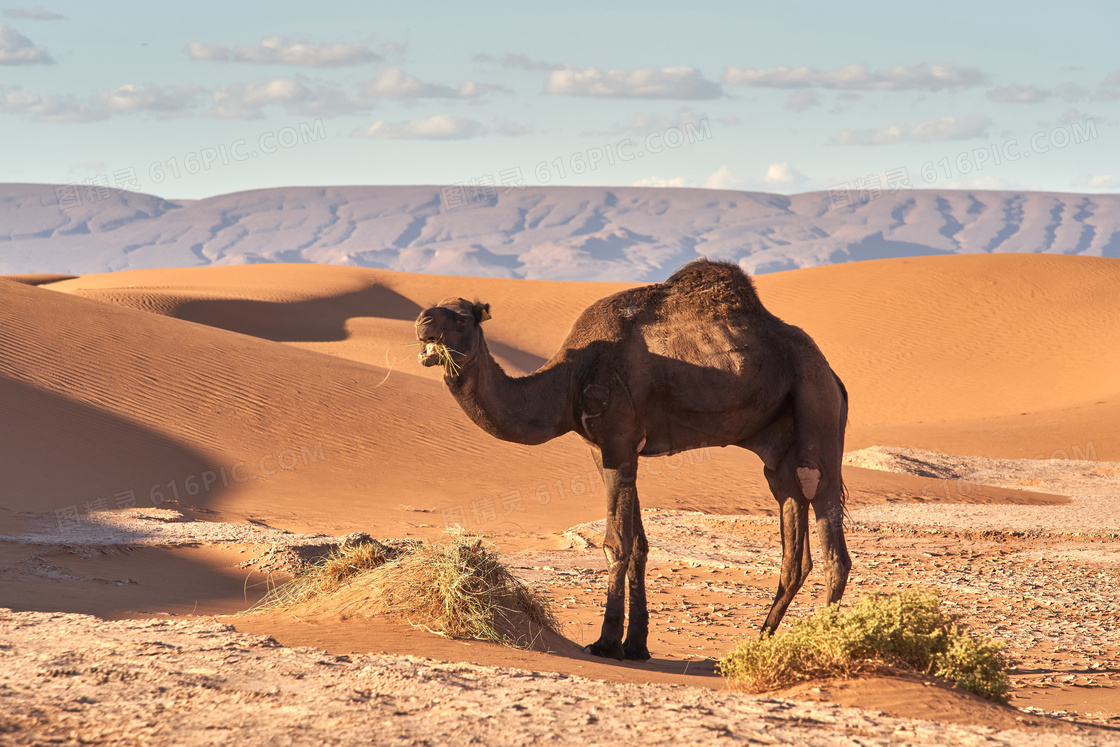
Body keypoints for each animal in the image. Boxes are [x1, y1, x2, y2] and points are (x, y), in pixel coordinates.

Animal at [414, 258, 846, 658]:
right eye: (435, 308)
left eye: (461, 316)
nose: (422, 321)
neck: (567, 380)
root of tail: (835, 377)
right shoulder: (601, 448)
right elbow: (638, 543)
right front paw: (636, 644)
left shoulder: (619, 440)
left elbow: (616, 543)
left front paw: (606, 643)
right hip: (778, 447)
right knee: (793, 533)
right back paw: (760, 642)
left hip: (815, 399)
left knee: (829, 530)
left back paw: (827, 643)